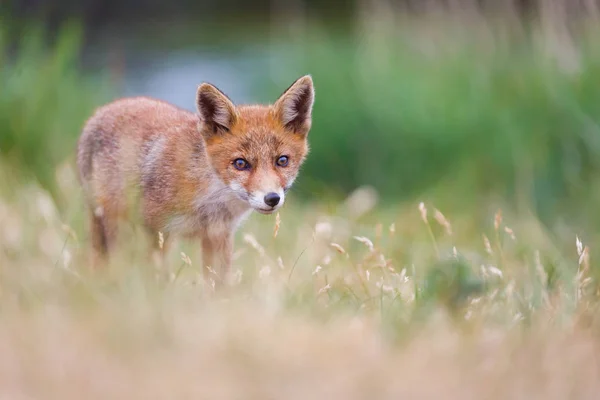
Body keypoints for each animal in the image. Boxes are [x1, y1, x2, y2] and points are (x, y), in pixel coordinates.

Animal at [76, 74, 314, 282]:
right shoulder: (156, 232)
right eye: (240, 164)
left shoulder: (218, 236)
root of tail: (102, 110)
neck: (206, 200)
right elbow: (155, 278)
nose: (272, 198)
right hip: (114, 227)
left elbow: (218, 286)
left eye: (282, 161)